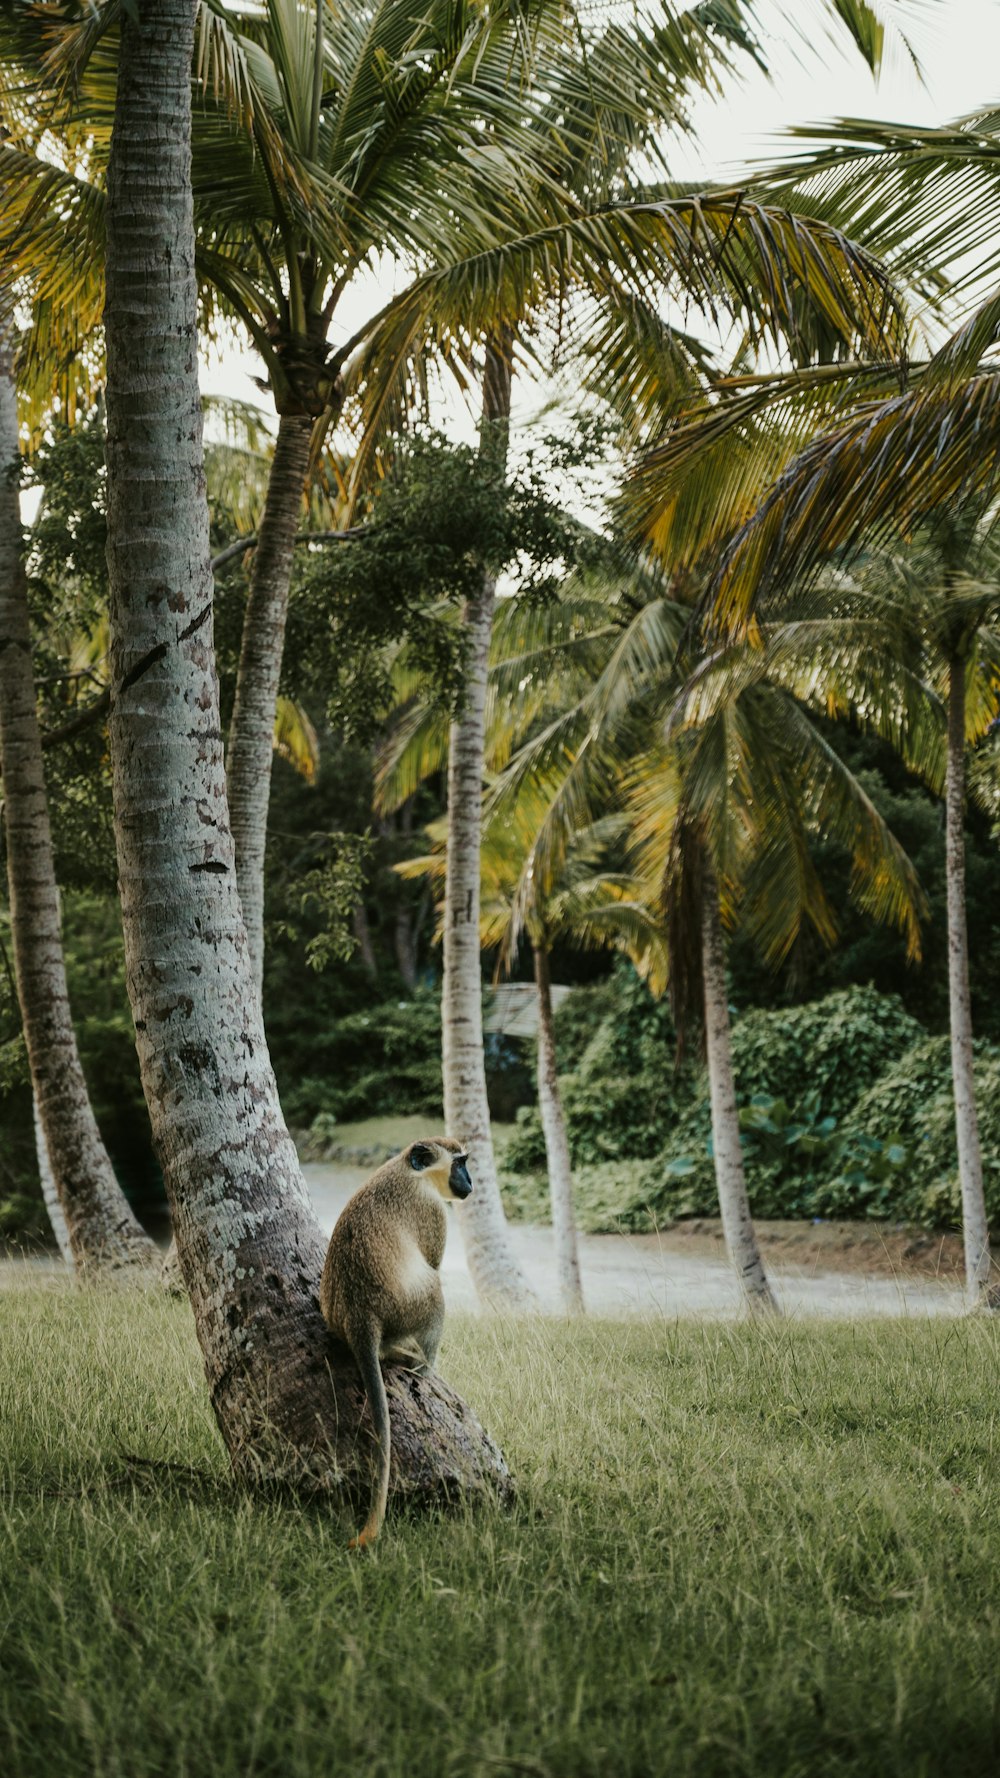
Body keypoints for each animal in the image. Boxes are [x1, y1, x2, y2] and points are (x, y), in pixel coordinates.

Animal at [320, 1137, 473, 1543]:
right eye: (459, 1164)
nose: (470, 1182)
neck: (407, 1168)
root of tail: (360, 1317)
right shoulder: (432, 1210)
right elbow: (433, 1263)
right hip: (404, 1307)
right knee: (433, 1291)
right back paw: (421, 1366)